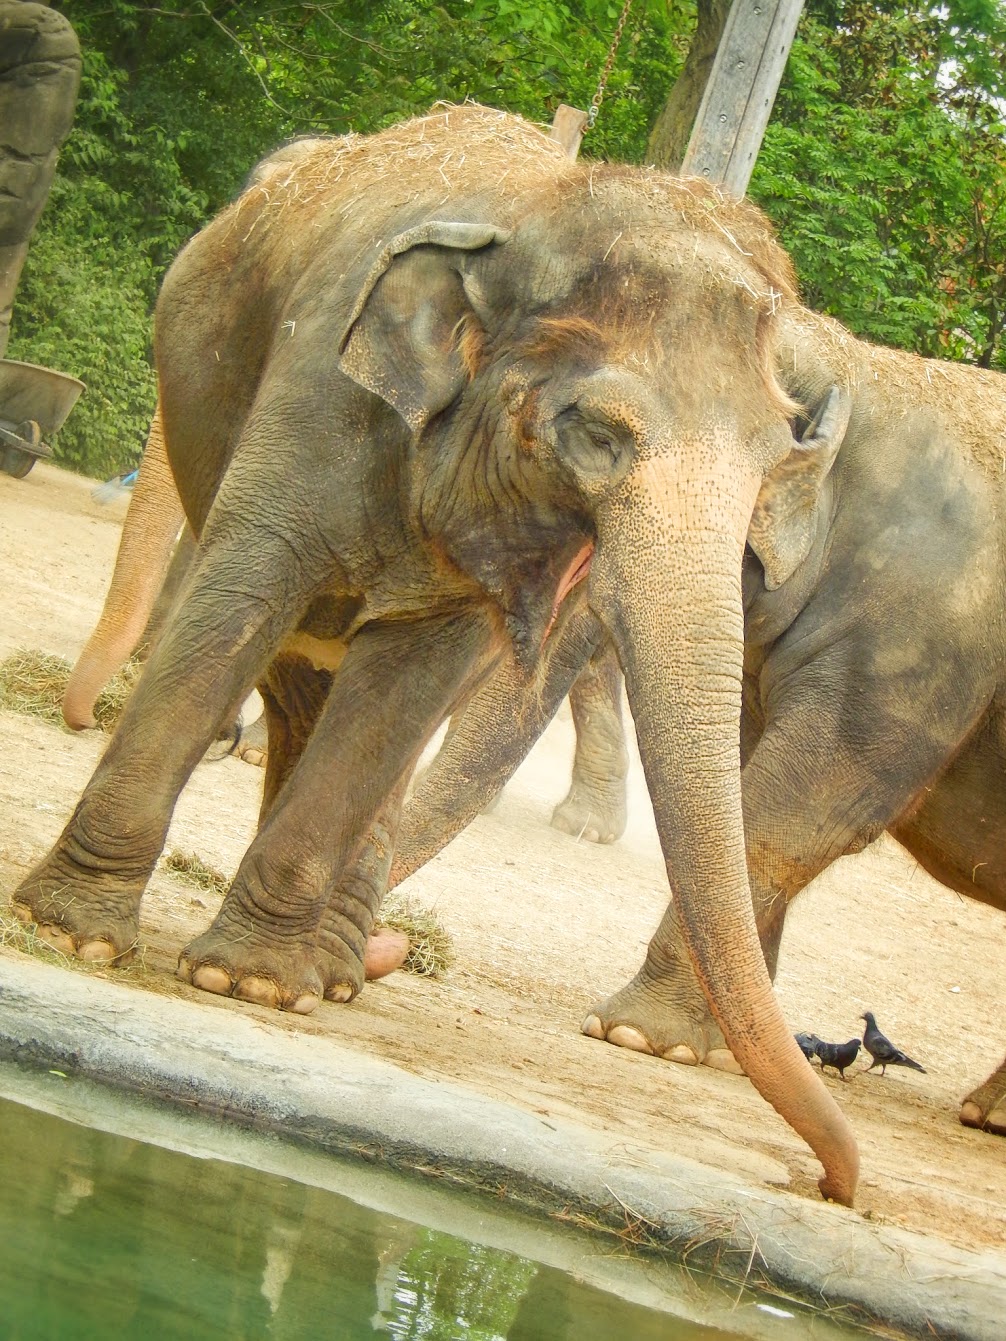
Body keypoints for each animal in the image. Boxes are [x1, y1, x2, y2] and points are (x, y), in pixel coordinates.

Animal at [11, 102, 863, 1204]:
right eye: (597, 432)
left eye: (775, 460)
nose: (834, 1185)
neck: (545, 220)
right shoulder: (316, 391)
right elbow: (240, 597)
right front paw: (70, 933)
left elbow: (411, 676)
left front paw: (249, 983)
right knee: (296, 664)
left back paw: (328, 970)